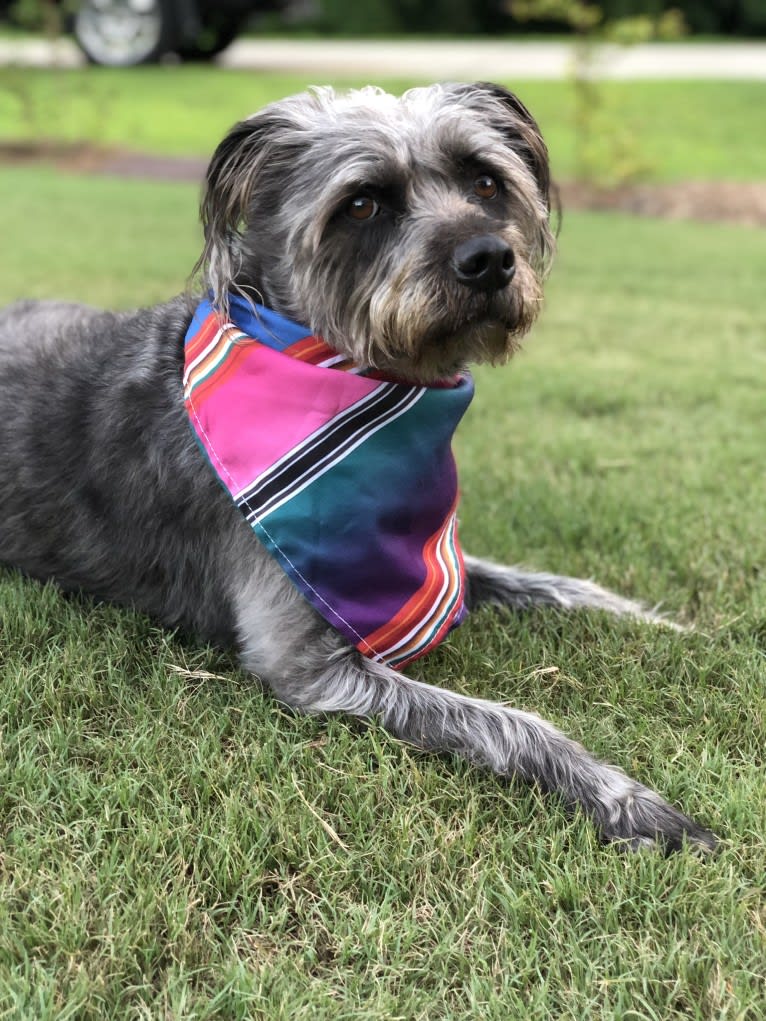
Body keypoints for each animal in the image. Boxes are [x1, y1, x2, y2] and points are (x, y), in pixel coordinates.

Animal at [0, 85, 719, 853]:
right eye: (363, 204)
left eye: (485, 182)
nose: (490, 258)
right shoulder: (310, 668)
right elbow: (512, 724)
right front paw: (624, 799)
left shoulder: (448, 565)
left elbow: (563, 586)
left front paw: (675, 627)